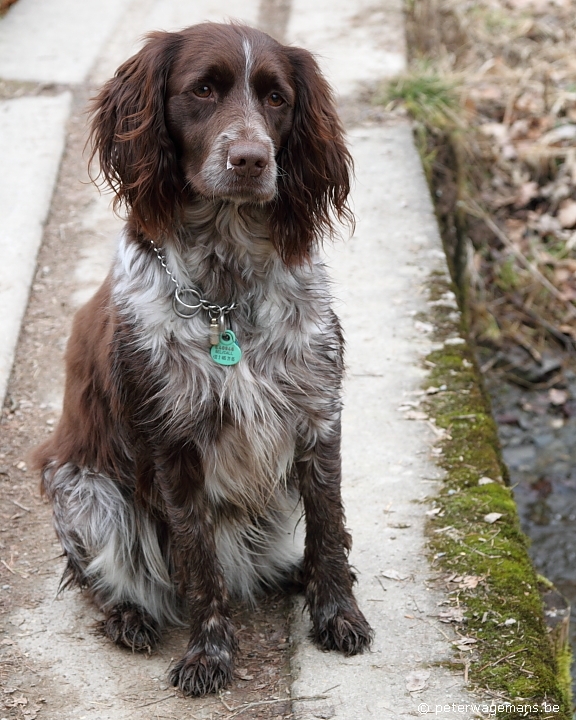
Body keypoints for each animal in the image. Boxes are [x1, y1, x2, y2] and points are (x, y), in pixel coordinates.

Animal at [37, 23, 374, 696]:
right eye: (203, 90)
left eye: (276, 97)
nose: (250, 159)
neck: (226, 289)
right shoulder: (173, 440)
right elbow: (197, 561)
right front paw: (208, 652)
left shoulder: (317, 413)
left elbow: (329, 527)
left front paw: (338, 612)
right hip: (84, 490)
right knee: (100, 576)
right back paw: (129, 615)